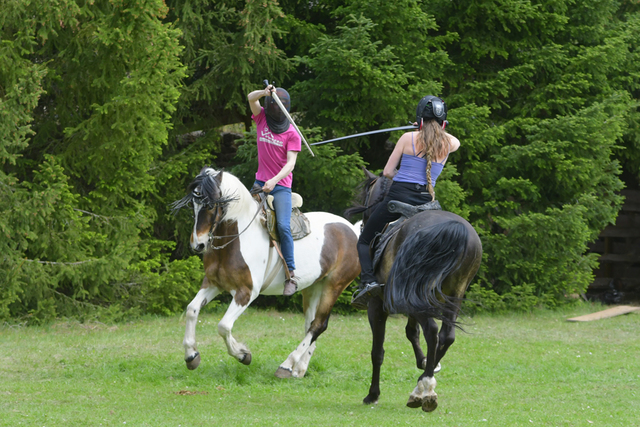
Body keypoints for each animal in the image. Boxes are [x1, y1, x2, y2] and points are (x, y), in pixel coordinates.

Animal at [172, 167, 362, 378]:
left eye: (211, 205)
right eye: (193, 205)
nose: (198, 244)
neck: (237, 238)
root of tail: (352, 229)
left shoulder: (246, 292)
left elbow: (223, 326)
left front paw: (243, 354)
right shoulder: (213, 284)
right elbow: (192, 310)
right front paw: (191, 355)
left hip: (334, 285)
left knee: (318, 325)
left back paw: (287, 365)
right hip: (313, 287)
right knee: (310, 325)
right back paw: (299, 369)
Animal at [344, 169, 480, 412]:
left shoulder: (377, 306)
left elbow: (377, 352)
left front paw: (373, 394)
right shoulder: (412, 300)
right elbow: (411, 331)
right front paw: (425, 362)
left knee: (433, 331)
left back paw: (423, 388)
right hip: (452, 294)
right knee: (446, 335)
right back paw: (425, 383)